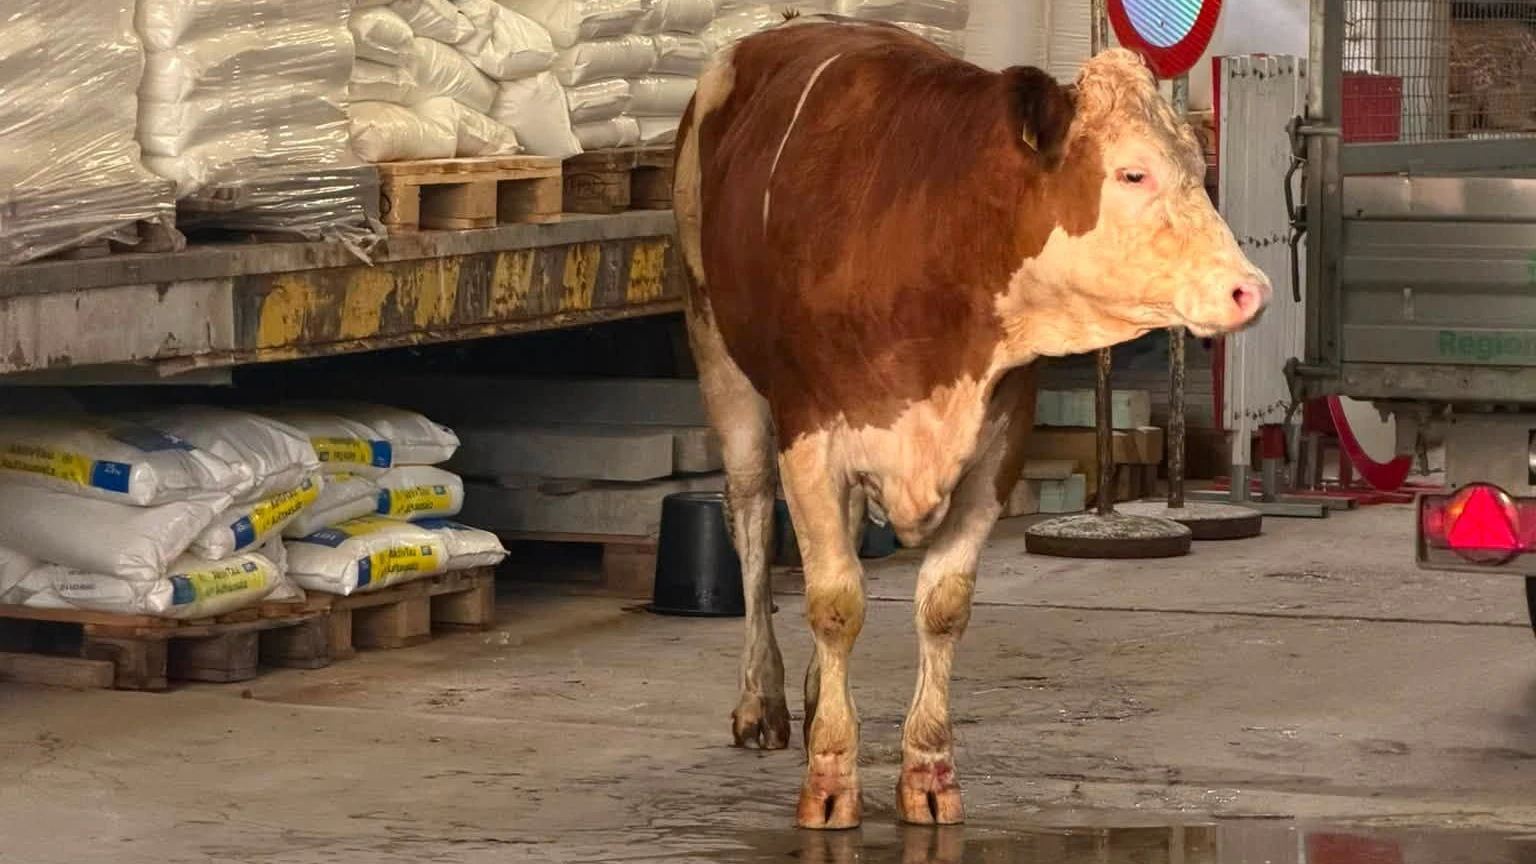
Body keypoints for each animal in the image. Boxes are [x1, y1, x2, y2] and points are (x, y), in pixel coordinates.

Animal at [671, 14, 1271, 830]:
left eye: (1195, 166)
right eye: (1132, 174)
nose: (1250, 288)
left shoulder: (996, 442)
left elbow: (943, 605)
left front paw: (927, 770)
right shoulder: (810, 433)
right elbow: (835, 602)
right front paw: (831, 777)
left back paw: (817, 693)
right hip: (716, 348)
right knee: (753, 514)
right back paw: (762, 696)